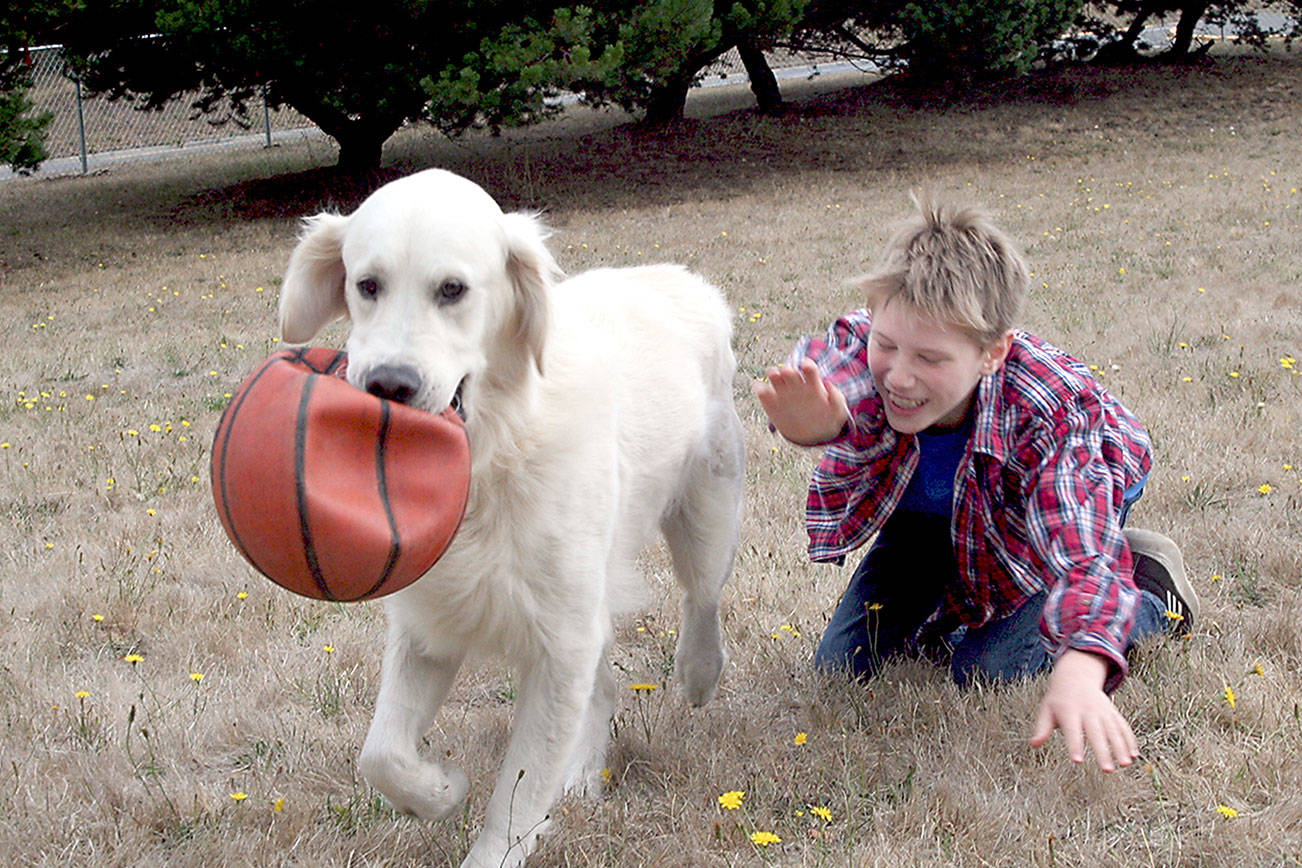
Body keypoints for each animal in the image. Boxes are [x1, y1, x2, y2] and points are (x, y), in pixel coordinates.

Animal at [277, 169, 744, 868]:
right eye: (367, 285)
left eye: (452, 290)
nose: (388, 385)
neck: (489, 455)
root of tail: (680, 278)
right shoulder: (430, 625)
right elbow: (380, 754)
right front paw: (439, 793)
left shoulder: (560, 641)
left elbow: (517, 791)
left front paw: (497, 836)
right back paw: (580, 779)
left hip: (704, 517)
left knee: (702, 599)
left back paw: (697, 674)